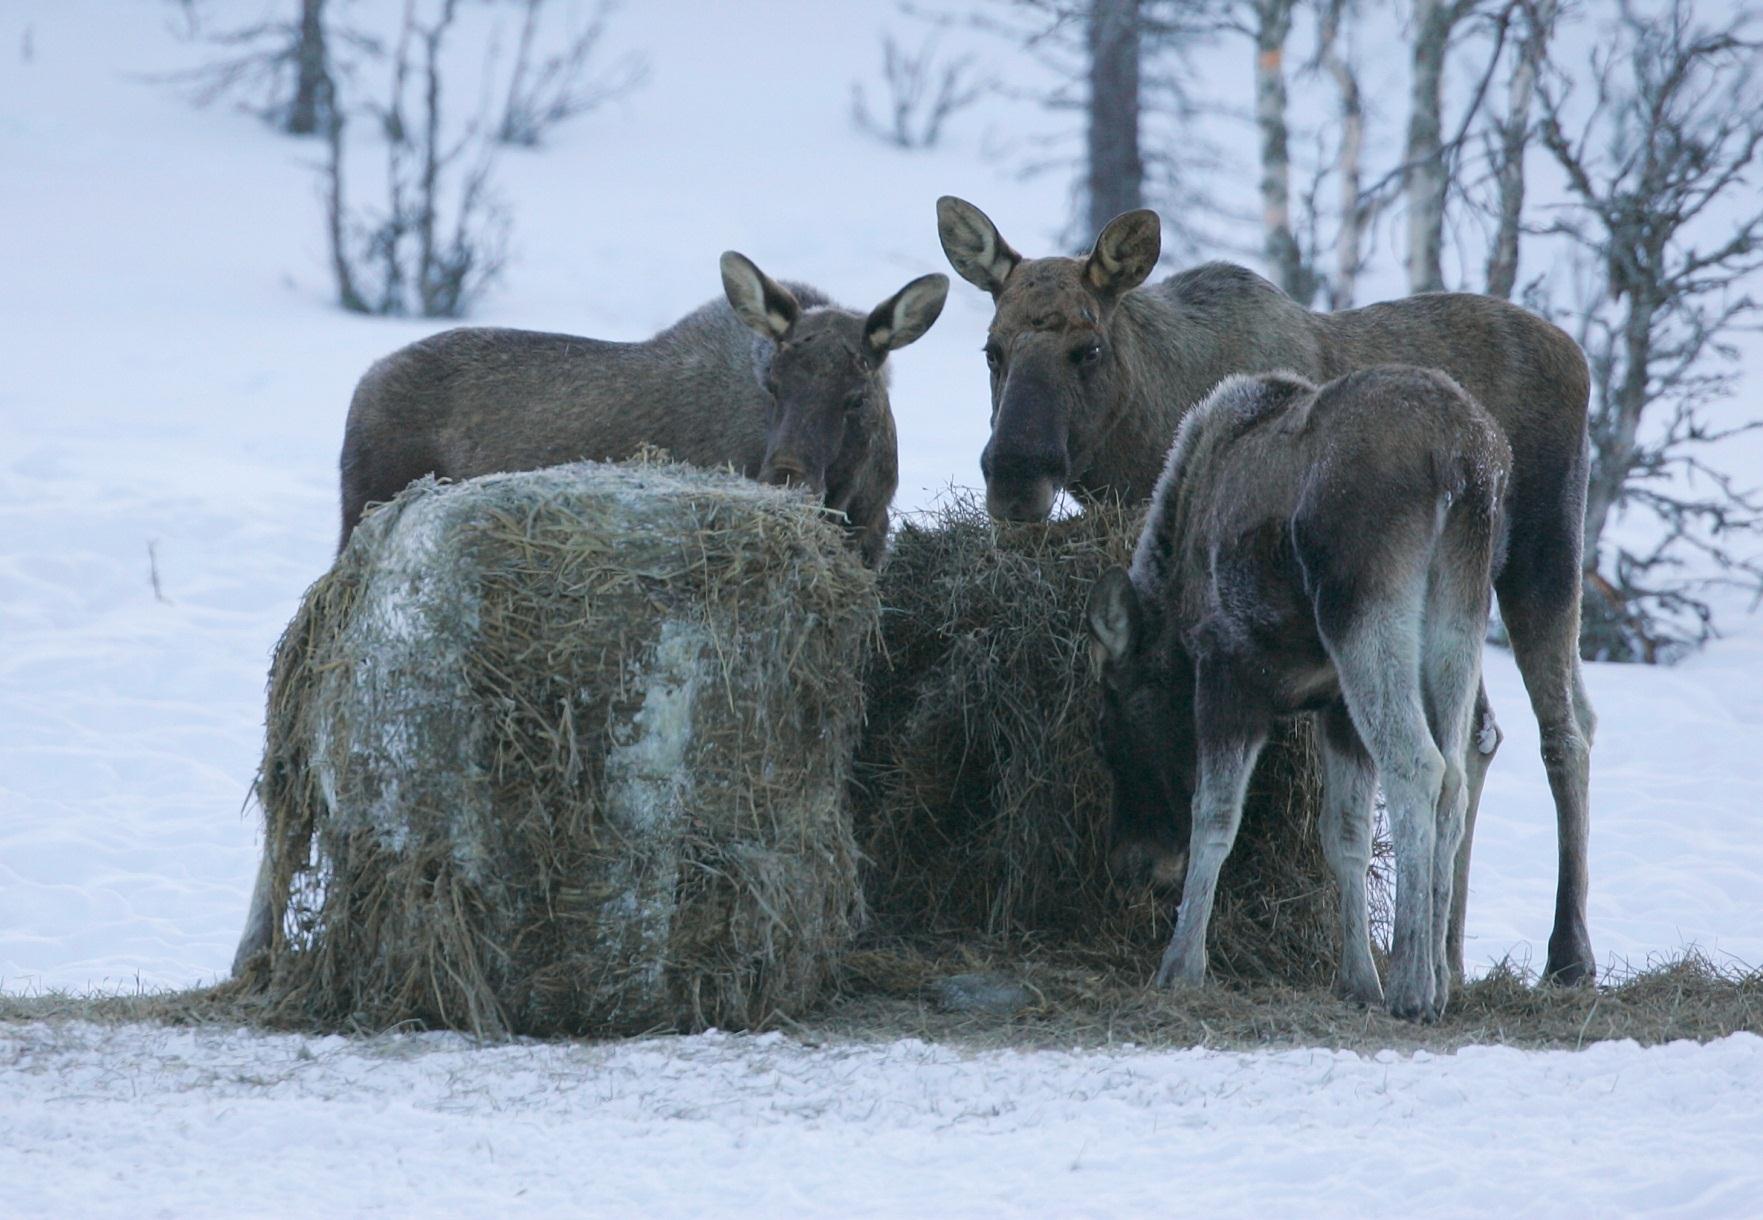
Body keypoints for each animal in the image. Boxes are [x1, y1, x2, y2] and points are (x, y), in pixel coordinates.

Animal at [327, 255, 952, 571]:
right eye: (772, 384)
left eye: (857, 396)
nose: (786, 477)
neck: (858, 495)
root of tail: (363, 384)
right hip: (361, 506)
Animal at [1086, 361, 1516, 1022]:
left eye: (1108, 733)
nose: (1134, 866)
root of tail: (1464, 462)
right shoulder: (1334, 704)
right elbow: (1345, 836)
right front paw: (1356, 978)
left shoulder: (1226, 670)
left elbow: (1214, 816)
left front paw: (1181, 966)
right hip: (1462, 610)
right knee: (1456, 776)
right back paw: (1439, 979)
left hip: (1363, 606)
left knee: (1419, 764)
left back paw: (1412, 985)